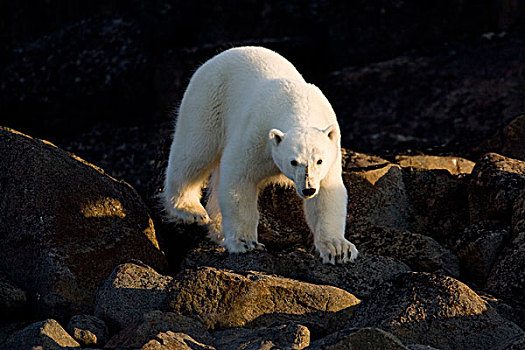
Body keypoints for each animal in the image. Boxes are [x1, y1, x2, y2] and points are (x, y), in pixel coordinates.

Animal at [164, 47, 358, 266]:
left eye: (319, 160)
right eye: (293, 161)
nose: (308, 189)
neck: (299, 105)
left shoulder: (331, 153)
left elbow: (327, 193)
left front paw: (338, 250)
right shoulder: (257, 134)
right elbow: (239, 178)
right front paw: (245, 242)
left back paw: (219, 231)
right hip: (208, 100)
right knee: (195, 151)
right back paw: (189, 211)